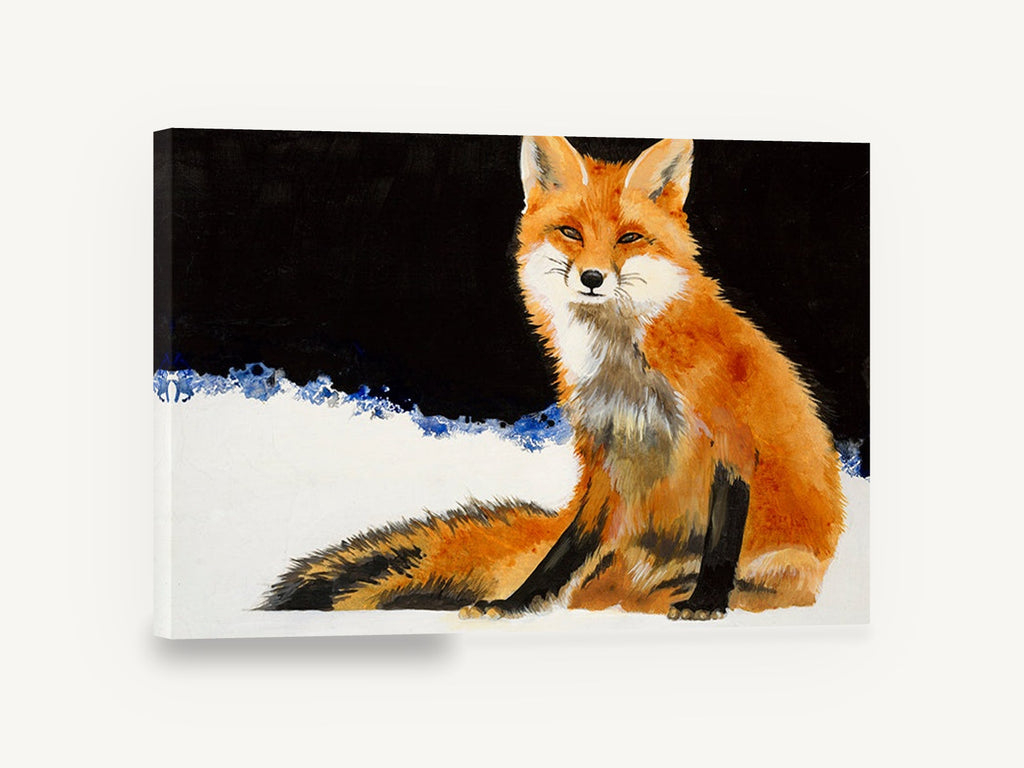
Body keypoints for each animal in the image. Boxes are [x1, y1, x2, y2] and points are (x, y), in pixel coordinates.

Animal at [260, 136, 845, 620]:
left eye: (629, 238)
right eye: (570, 232)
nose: (592, 277)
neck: (628, 373)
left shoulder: (731, 441)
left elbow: (721, 541)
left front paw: (706, 602)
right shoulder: (604, 457)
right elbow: (563, 552)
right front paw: (517, 603)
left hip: (784, 564)